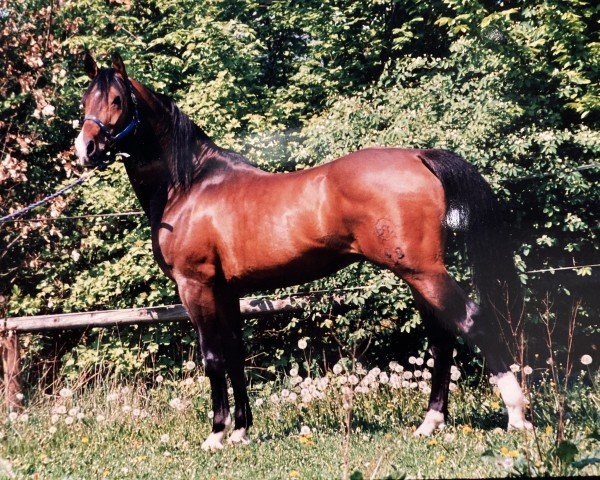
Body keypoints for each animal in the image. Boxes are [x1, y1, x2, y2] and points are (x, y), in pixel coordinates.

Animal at [76, 52, 536, 450]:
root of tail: (418, 156)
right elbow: (235, 354)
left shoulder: (197, 286)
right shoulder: (227, 290)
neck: (190, 185)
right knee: (442, 336)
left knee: (471, 321)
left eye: (118, 100)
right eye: (85, 100)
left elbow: (212, 357)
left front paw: (217, 434)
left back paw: (516, 417)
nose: (86, 150)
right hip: (417, 274)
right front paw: (241, 431)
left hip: (424, 272)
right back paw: (430, 423)